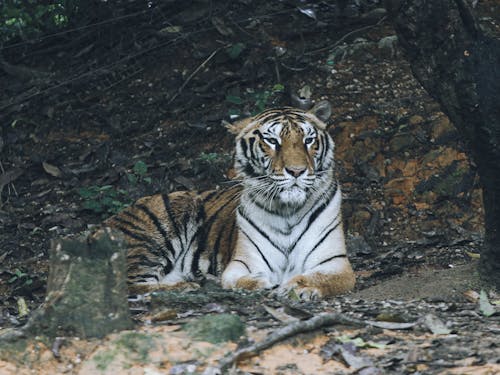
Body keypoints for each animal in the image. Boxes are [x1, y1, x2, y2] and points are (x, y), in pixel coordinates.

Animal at [105, 101, 356, 302]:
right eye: (272, 141)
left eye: (309, 140)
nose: (296, 171)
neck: (288, 212)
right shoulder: (242, 263)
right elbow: (239, 279)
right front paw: (263, 282)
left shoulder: (335, 263)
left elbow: (319, 278)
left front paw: (297, 287)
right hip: (149, 239)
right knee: (129, 285)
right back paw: (187, 286)